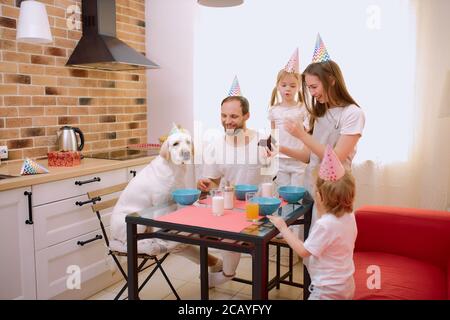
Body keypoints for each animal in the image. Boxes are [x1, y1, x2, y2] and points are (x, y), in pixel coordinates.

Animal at [110, 125, 193, 255]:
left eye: (188, 142)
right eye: (175, 144)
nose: (186, 153)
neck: (174, 168)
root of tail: (111, 236)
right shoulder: (160, 205)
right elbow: (159, 227)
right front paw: (161, 241)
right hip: (139, 219)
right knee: (127, 243)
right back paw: (147, 241)